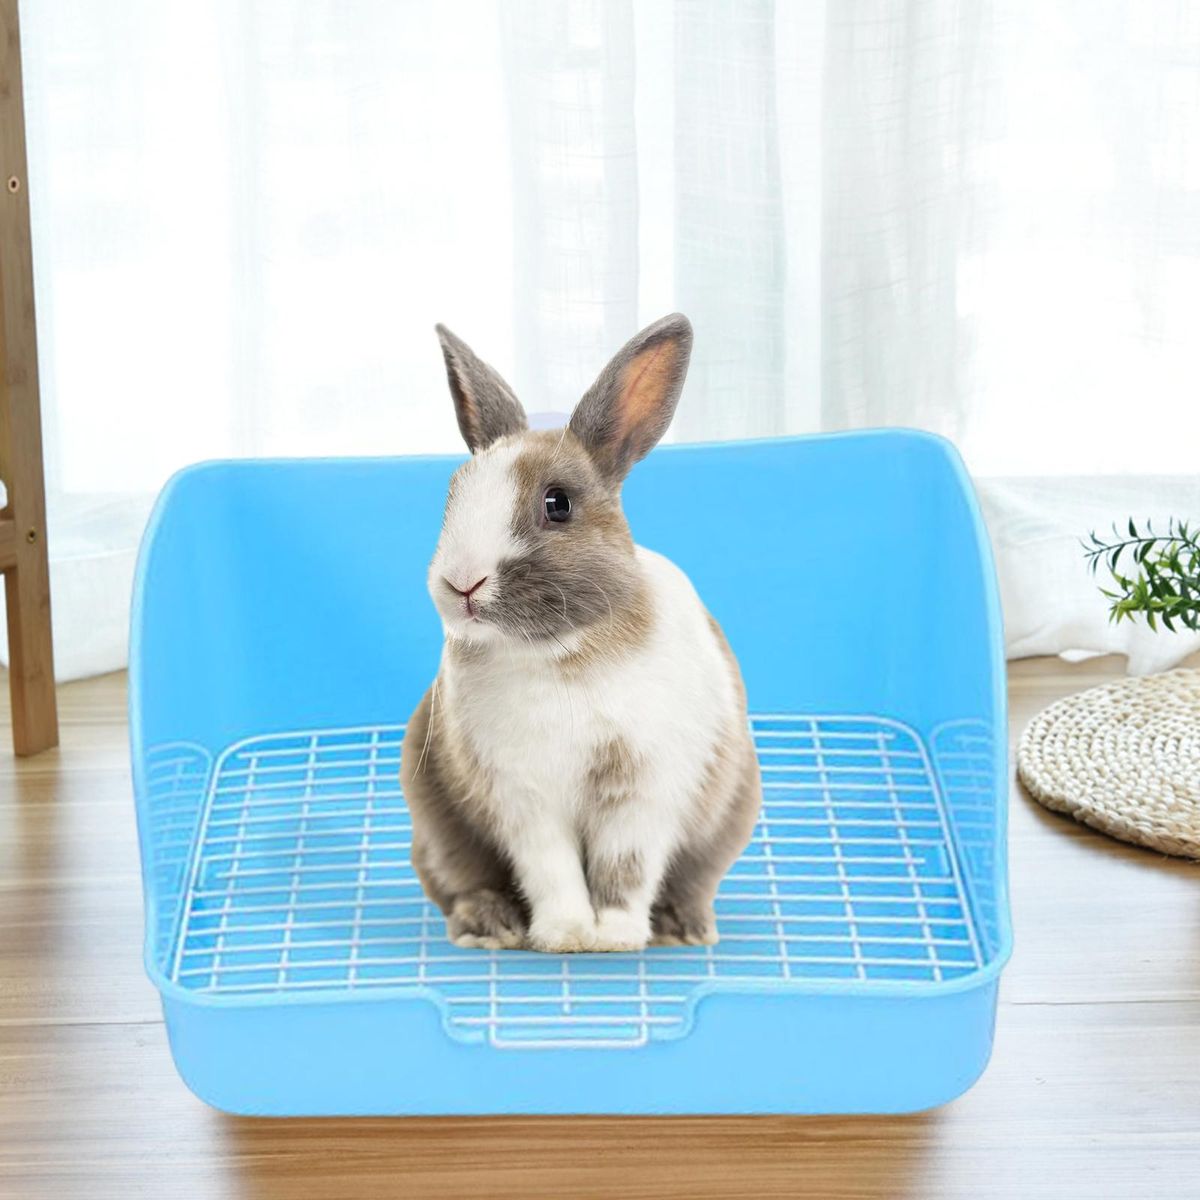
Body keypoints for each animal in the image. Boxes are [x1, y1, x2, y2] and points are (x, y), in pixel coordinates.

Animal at [400, 314, 761, 953]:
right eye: (452, 495)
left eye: (557, 504)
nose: (461, 583)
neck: (559, 654)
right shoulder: (524, 800)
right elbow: (552, 869)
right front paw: (566, 935)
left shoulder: (643, 792)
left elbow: (625, 868)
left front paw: (614, 936)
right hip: (435, 827)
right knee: (462, 882)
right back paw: (491, 927)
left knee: (694, 880)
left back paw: (684, 930)